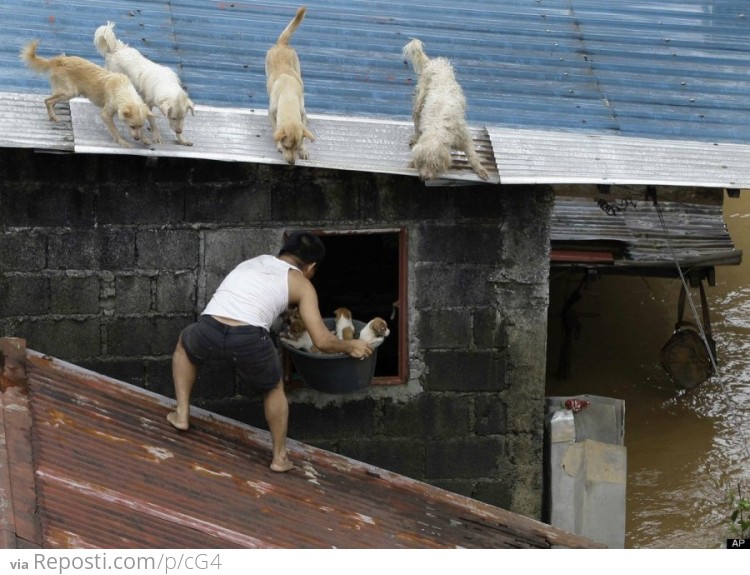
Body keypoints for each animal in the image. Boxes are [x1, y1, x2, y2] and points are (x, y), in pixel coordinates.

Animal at [21, 40, 153, 148]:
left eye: (140, 126)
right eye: (132, 126)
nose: (137, 138)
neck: (122, 89)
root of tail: (60, 59)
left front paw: (145, 139)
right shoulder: (106, 114)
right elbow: (115, 130)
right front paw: (122, 141)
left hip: (64, 90)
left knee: (51, 100)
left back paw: (51, 115)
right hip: (70, 92)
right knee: (47, 100)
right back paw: (53, 116)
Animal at [266, 5, 316, 164]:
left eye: (296, 147)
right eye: (286, 146)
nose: (292, 163)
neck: (288, 96)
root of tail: (282, 44)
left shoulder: (302, 114)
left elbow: (304, 132)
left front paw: (304, 149)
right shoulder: (271, 113)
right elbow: (275, 129)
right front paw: (278, 145)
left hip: (297, 67)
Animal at [402, 38, 490, 181]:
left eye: (435, 164)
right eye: (422, 162)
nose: (424, 177)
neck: (437, 128)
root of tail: (433, 62)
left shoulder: (463, 135)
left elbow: (472, 154)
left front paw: (480, 168)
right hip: (419, 101)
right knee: (416, 120)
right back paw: (415, 137)